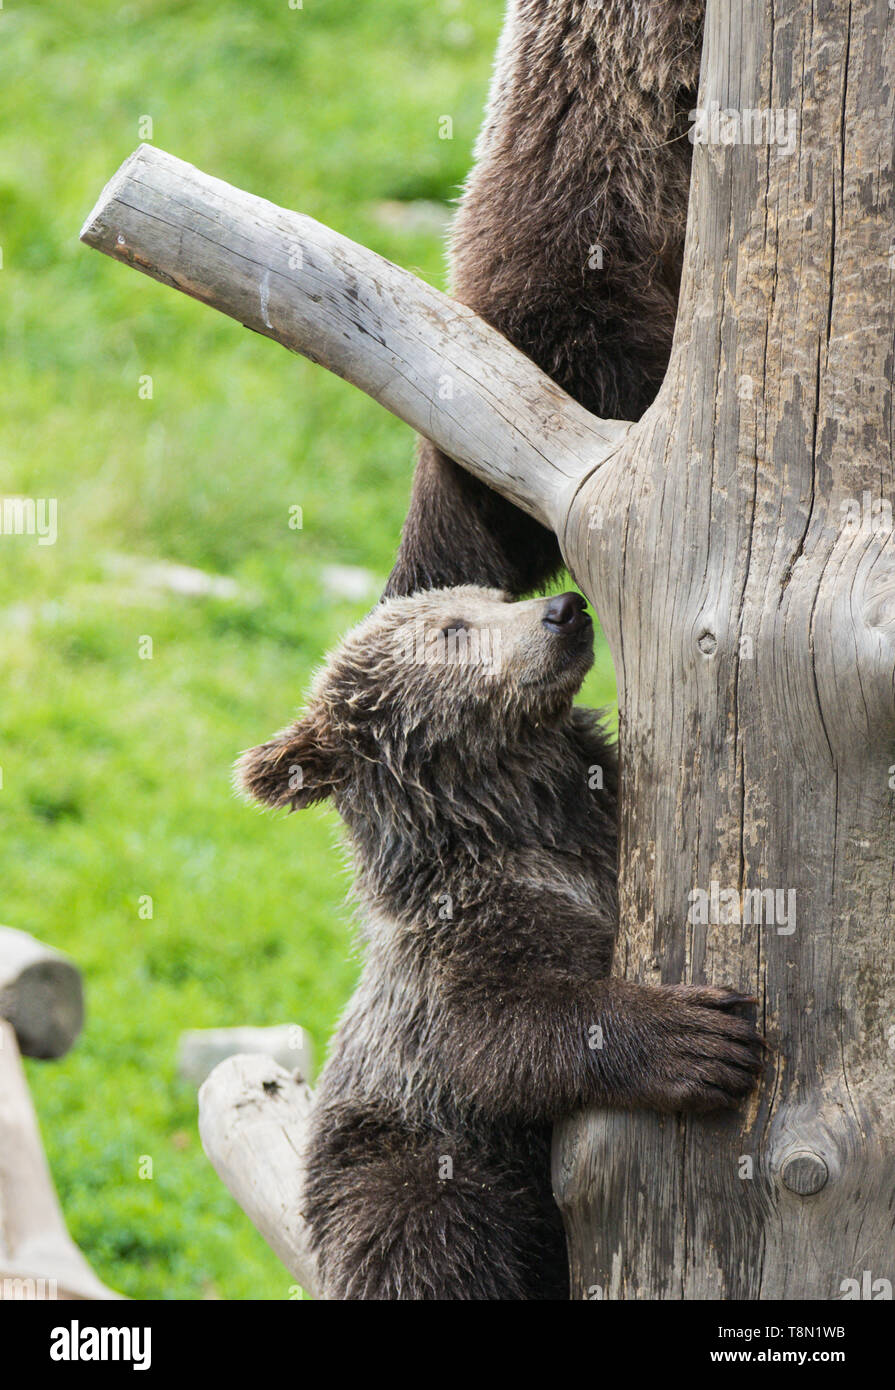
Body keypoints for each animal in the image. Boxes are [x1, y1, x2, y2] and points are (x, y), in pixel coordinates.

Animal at [237, 586, 763, 1300]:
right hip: (388, 1152)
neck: (524, 821)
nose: (564, 609)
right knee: (430, 1231)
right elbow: (496, 1033)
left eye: (495, 596)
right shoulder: (453, 953)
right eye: (452, 630)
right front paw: (699, 1039)